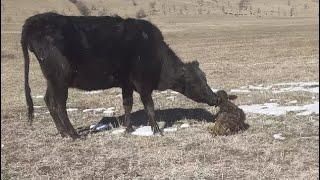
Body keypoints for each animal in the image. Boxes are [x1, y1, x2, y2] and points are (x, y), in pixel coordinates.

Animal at [21, 13, 219, 139]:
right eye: (197, 81)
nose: (215, 98)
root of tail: (35, 21)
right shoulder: (142, 83)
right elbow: (149, 106)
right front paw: (156, 130)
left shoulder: (126, 83)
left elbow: (127, 104)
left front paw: (128, 128)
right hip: (60, 78)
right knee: (59, 105)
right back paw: (74, 134)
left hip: (52, 79)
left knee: (49, 101)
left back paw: (63, 133)